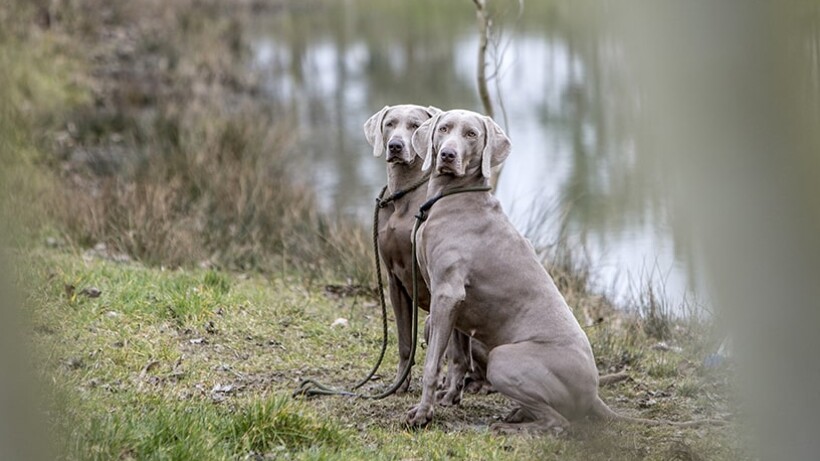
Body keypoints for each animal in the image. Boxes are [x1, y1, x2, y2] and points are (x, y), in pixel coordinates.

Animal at [406, 109, 700, 434]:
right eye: (444, 129)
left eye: (471, 134)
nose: (448, 154)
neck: (452, 196)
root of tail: (595, 393)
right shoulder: (455, 302)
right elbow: (457, 357)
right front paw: (448, 398)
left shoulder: (447, 294)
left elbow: (432, 363)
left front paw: (422, 413)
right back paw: (517, 414)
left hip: (502, 358)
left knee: (560, 423)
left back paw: (513, 426)